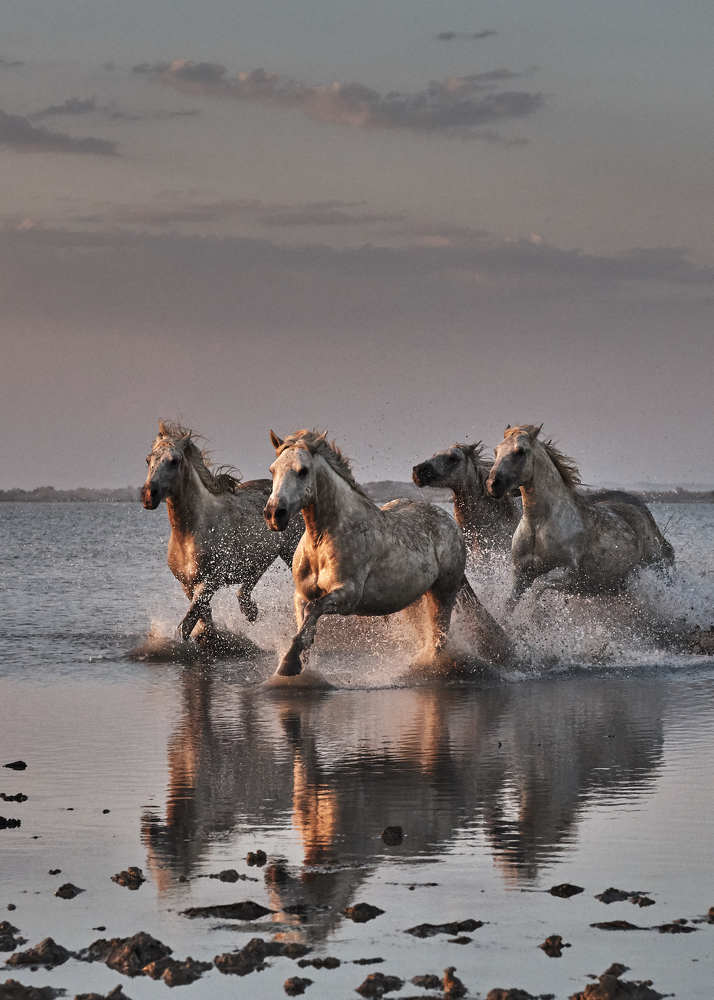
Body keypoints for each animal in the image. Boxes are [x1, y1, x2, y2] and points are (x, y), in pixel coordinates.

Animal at [141, 421, 302, 641]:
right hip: (262, 557)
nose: (149, 495)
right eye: (148, 459)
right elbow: (204, 621)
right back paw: (251, 611)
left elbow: (186, 625)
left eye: (174, 461)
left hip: (291, 551)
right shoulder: (187, 585)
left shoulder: (211, 581)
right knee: (246, 588)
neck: (190, 532)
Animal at [263, 429, 511, 676]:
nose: (274, 514)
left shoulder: (347, 595)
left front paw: (288, 664)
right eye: (272, 470)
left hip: (443, 594)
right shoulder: (301, 595)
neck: (322, 540)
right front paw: (297, 662)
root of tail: (449, 521)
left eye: (302, 471)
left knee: (438, 641)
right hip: (413, 600)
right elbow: (305, 622)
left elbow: (313, 610)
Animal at [486, 424, 674, 602]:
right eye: (496, 450)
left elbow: (538, 587)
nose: (493, 484)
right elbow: (509, 604)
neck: (537, 525)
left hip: (656, 567)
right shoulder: (521, 574)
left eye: (520, 451)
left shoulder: (571, 575)